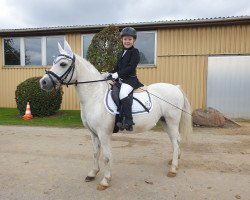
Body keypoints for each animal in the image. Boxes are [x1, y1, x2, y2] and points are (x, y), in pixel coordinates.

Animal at [39, 41, 192, 191]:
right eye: (54, 61)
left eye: (63, 64)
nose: (43, 82)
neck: (95, 96)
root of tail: (175, 87)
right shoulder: (93, 133)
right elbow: (95, 153)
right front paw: (92, 173)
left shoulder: (104, 133)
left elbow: (106, 156)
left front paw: (105, 180)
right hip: (165, 121)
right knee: (175, 141)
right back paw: (174, 161)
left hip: (172, 121)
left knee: (176, 141)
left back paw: (173, 169)